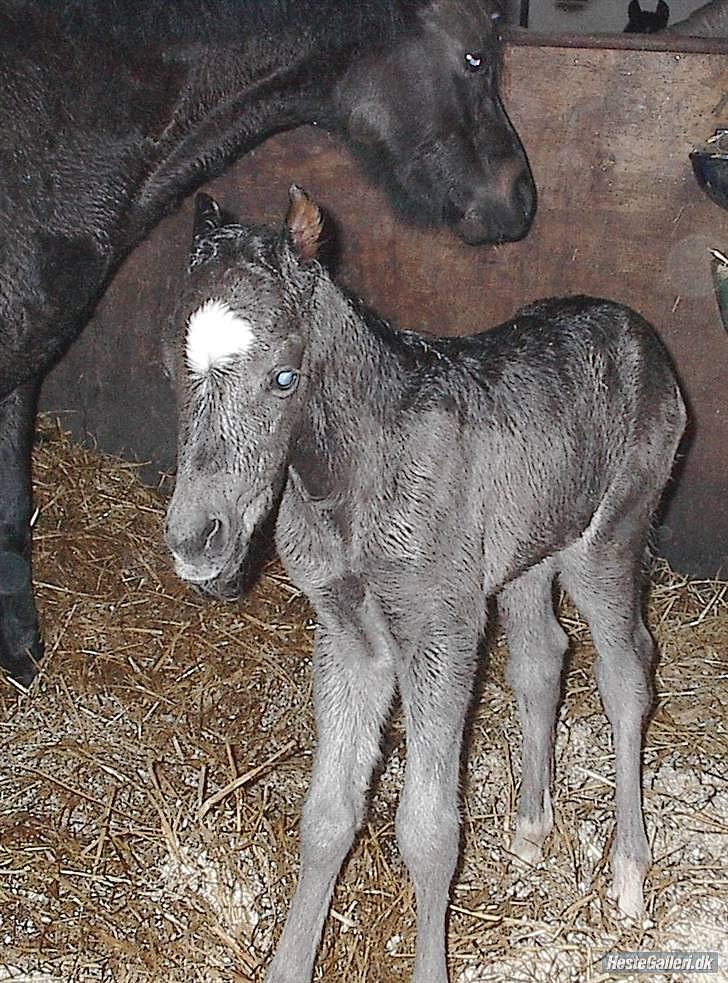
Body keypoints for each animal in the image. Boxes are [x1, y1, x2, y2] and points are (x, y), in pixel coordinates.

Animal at [164, 187, 685, 982]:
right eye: (174, 365)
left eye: (284, 376)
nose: (197, 538)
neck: (354, 480)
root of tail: (642, 333)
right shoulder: (347, 632)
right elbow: (328, 814)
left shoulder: (440, 629)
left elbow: (429, 830)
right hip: (528, 554)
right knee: (543, 661)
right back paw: (531, 828)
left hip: (610, 541)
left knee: (628, 675)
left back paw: (629, 874)